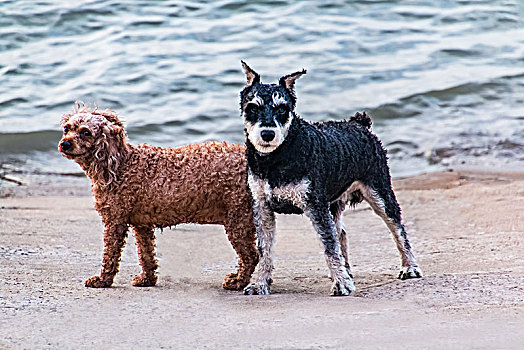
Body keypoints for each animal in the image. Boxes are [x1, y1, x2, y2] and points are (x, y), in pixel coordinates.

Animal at [57, 103, 258, 290]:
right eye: (67, 129)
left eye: (86, 132)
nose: (65, 143)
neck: (121, 164)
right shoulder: (142, 225)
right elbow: (146, 255)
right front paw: (147, 279)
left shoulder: (115, 221)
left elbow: (110, 255)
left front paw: (102, 280)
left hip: (237, 219)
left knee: (251, 256)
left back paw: (238, 281)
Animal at [241, 61, 422, 296]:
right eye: (252, 107)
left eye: (282, 109)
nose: (267, 134)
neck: (275, 160)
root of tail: (360, 124)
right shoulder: (262, 207)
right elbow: (265, 249)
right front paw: (260, 282)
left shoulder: (315, 205)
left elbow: (328, 245)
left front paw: (341, 283)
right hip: (335, 202)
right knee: (341, 233)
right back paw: (346, 270)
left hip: (380, 193)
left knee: (397, 229)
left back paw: (409, 267)